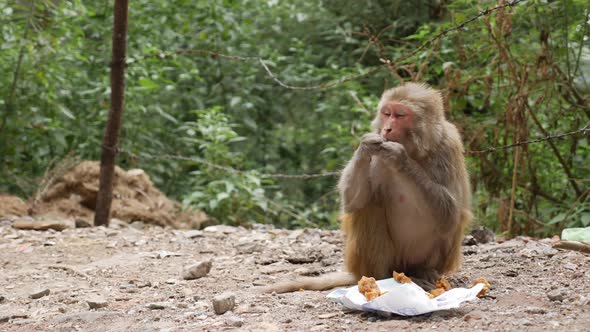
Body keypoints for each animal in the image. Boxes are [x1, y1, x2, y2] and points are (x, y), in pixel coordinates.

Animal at [266, 83, 474, 294]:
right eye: (386, 113)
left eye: (400, 115)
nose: (387, 128)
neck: (416, 150)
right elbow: (352, 201)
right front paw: (365, 145)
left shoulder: (449, 146)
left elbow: (450, 214)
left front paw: (400, 158)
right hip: (373, 263)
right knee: (369, 205)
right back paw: (379, 278)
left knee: (449, 224)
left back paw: (422, 272)